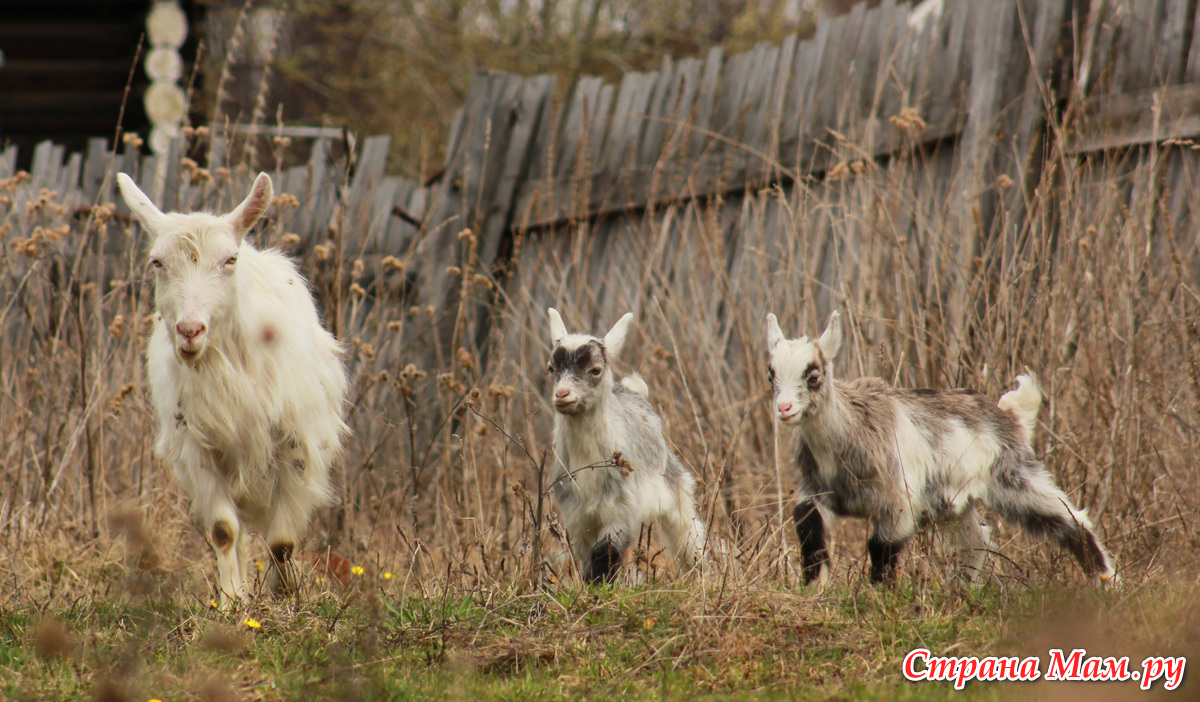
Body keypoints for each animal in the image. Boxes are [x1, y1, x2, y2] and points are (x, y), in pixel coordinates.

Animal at [117, 171, 350, 602]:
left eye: (229, 260)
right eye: (157, 262)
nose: (190, 330)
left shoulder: (294, 444)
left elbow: (282, 542)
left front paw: (285, 594)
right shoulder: (197, 444)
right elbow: (224, 531)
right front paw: (231, 601)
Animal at [549, 309, 705, 583]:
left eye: (595, 370)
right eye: (551, 368)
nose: (562, 394)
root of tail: (634, 391)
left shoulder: (620, 511)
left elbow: (605, 555)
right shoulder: (577, 518)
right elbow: (589, 560)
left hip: (676, 488)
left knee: (689, 534)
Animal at [768, 309, 1113, 583]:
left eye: (813, 375)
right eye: (771, 374)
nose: (784, 408)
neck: (848, 432)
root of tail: (1009, 414)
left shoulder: (899, 504)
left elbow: (880, 552)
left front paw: (880, 599)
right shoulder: (819, 492)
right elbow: (808, 531)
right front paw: (815, 589)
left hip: (1014, 478)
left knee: (1072, 520)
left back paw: (1106, 583)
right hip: (953, 506)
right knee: (977, 543)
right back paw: (965, 591)